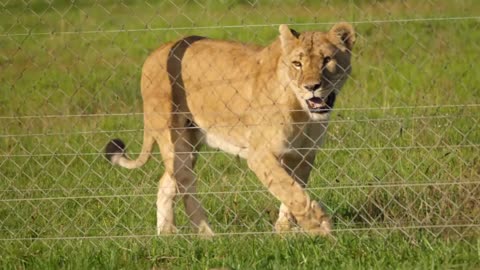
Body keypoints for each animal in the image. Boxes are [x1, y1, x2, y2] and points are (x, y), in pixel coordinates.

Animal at [105, 23, 354, 236]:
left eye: (327, 60)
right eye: (297, 64)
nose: (312, 87)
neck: (304, 113)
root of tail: (155, 53)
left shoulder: (303, 154)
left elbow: (293, 190)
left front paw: (284, 230)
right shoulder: (260, 154)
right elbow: (288, 189)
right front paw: (318, 226)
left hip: (190, 142)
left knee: (166, 183)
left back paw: (167, 235)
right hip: (173, 138)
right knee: (185, 183)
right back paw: (207, 236)